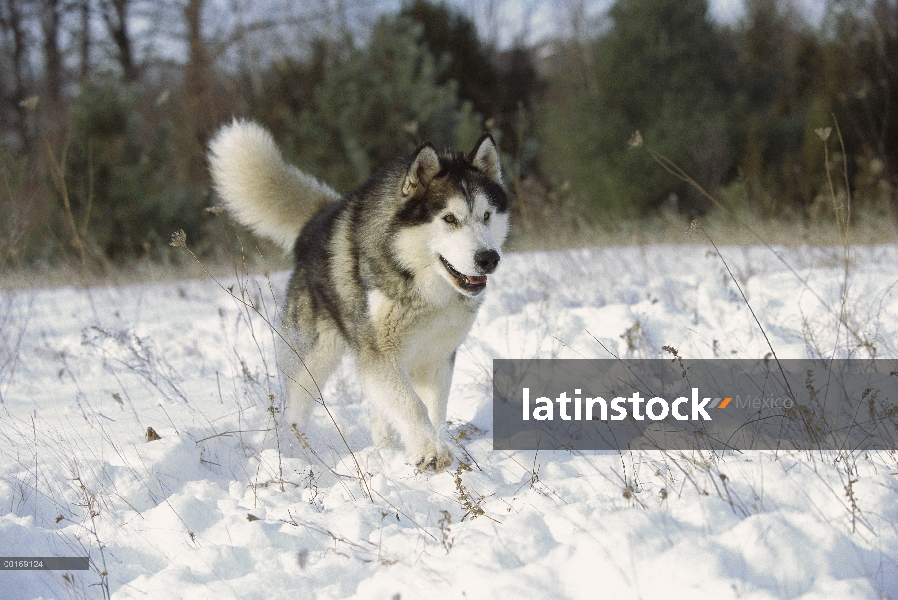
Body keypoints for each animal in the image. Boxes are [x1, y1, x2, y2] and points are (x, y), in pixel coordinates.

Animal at [206, 120, 508, 468]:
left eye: (486, 215)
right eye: (449, 219)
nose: (489, 258)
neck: (425, 288)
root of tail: (318, 220)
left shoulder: (438, 356)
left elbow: (433, 409)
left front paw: (439, 449)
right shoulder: (379, 355)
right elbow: (411, 405)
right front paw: (430, 452)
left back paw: (382, 452)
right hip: (312, 358)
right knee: (295, 411)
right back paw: (296, 456)